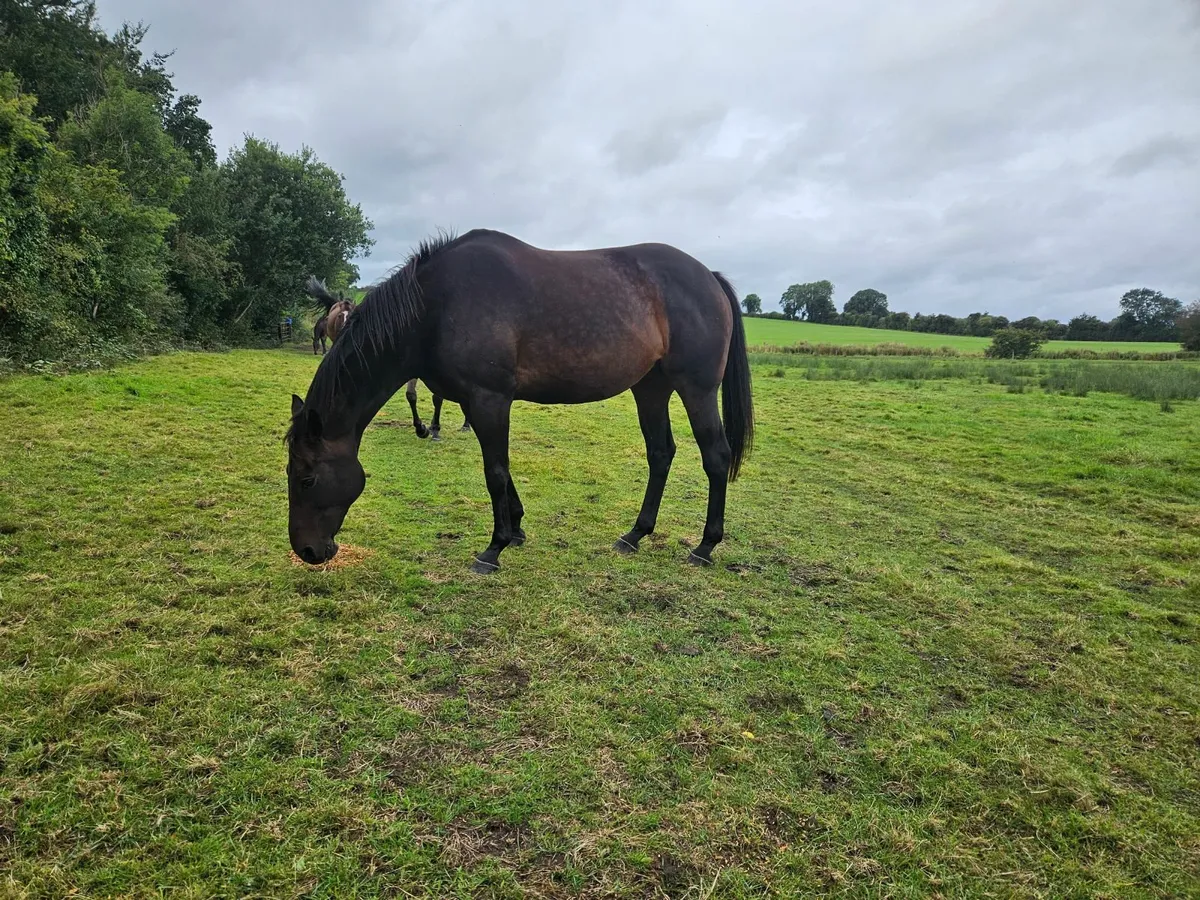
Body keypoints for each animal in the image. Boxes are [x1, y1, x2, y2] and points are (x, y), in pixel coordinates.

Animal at [285, 228, 754, 575]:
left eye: (307, 479)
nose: (307, 551)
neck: (436, 305)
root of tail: (709, 276)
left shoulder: (490, 399)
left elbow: (494, 471)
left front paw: (494, 549)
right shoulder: (475, 401)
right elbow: (502, 469)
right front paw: (518, 528)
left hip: (696, 389)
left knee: (715, 456)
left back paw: (705, 546)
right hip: (650, 389)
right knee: (660, 453)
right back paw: (634, 535)